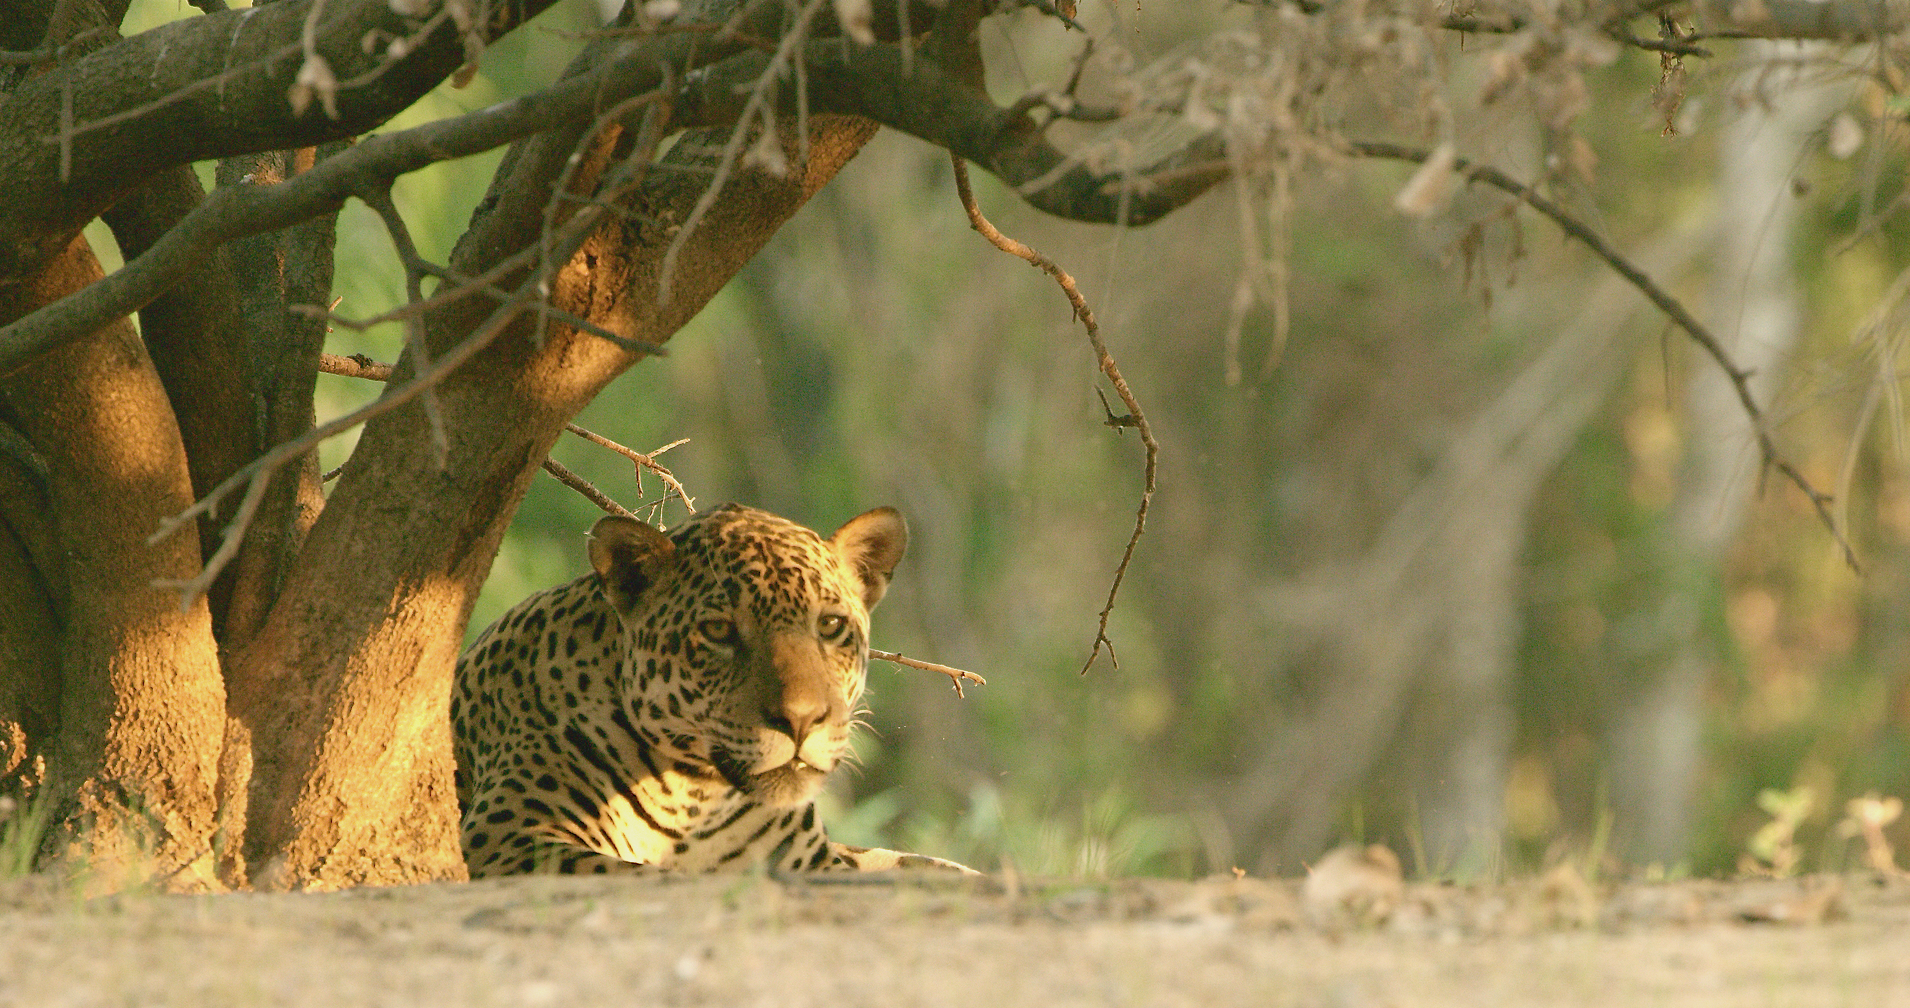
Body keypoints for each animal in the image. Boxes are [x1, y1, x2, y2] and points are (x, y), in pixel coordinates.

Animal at [448, 500, 970, 874]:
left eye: (831, 625)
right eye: (719, 631)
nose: (801, 720)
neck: (695, 798)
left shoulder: (811, 860)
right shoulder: (508, 835)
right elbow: (643, 875)